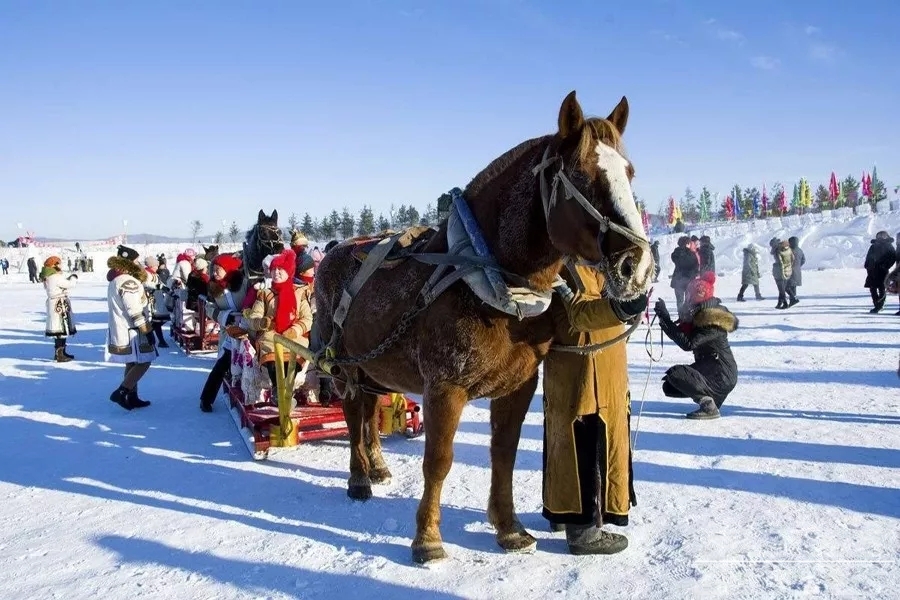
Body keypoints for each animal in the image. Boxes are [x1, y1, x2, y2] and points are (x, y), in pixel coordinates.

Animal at [312, 91, 652, 564]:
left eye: (629, 172)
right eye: (580, 176)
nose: (636, 266)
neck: (489, 284)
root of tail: (333, 254)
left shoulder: (519, 386)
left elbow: (503, 454)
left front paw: (509, 529)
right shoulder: (445, 388)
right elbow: (438, 461)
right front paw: (427, 539)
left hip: (374, 367)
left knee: (368, 408)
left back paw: (377, 466)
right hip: (343, 363)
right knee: (351, 412)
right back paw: (359, 478)